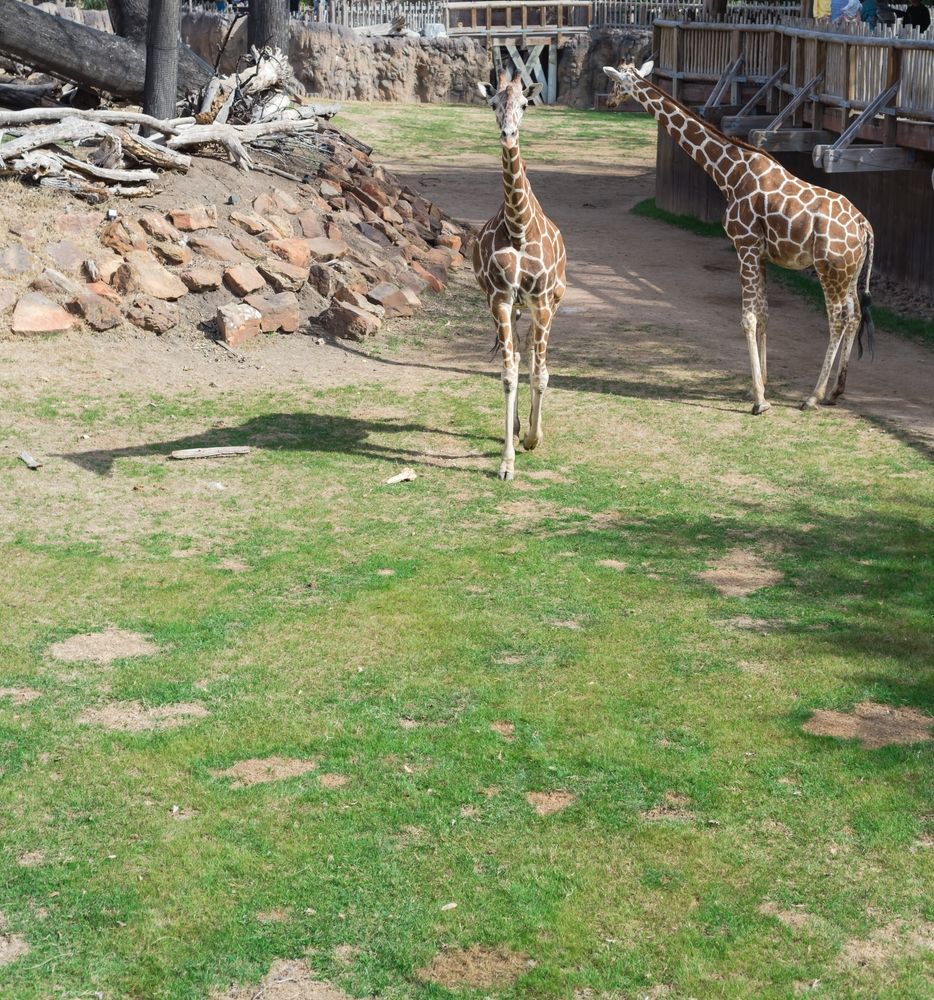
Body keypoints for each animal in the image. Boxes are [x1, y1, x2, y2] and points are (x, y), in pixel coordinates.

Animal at [605, 62, 874, 414]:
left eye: (615, 83)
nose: (608, 101)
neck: (729, 174)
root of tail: (865, 226)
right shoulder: (760, 253)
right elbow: (764, 313)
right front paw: (759, 386)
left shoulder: (743, 245)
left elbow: (747, 317)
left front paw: (760, 400)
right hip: (850, 273)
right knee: (854, 316)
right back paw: (835, 392)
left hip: (830, 269)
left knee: (838, 320)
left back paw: (813, 396)